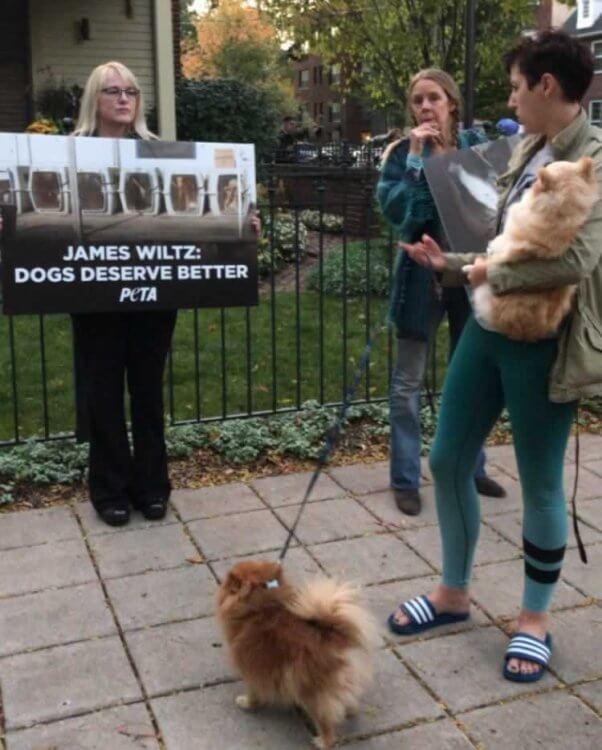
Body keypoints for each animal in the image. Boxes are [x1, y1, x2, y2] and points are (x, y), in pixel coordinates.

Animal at [216, 560, 376, 748]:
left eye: (230, 585)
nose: (224, 582)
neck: (260, 608)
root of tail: (336, 640)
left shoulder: (252, 667)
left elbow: (254, 691)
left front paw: (247, 703)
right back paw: (350, 710)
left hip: (312, 693)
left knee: (326, 723)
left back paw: (322, 741)